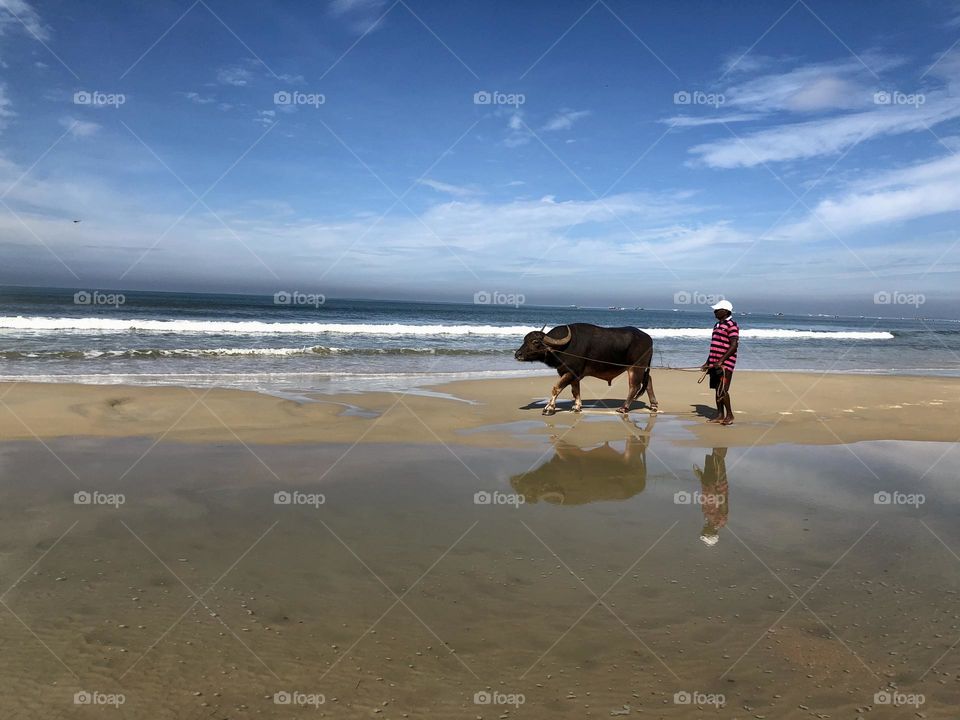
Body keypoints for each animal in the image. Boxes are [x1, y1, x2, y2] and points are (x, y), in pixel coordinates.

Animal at [512, 322, 656, 414]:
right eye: (524, 340)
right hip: (641, 368)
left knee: (634, 386)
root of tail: (649, 339)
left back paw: (623, 408)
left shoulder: (570, 372)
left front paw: (549, 408)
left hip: (636, 368)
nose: (517, 354)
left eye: (535, 342)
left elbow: (556, 388)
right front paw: (576, 407)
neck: (562, 348)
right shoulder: (573, 375)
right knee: (648, 380)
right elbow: (575, 390)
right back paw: (653, 405)